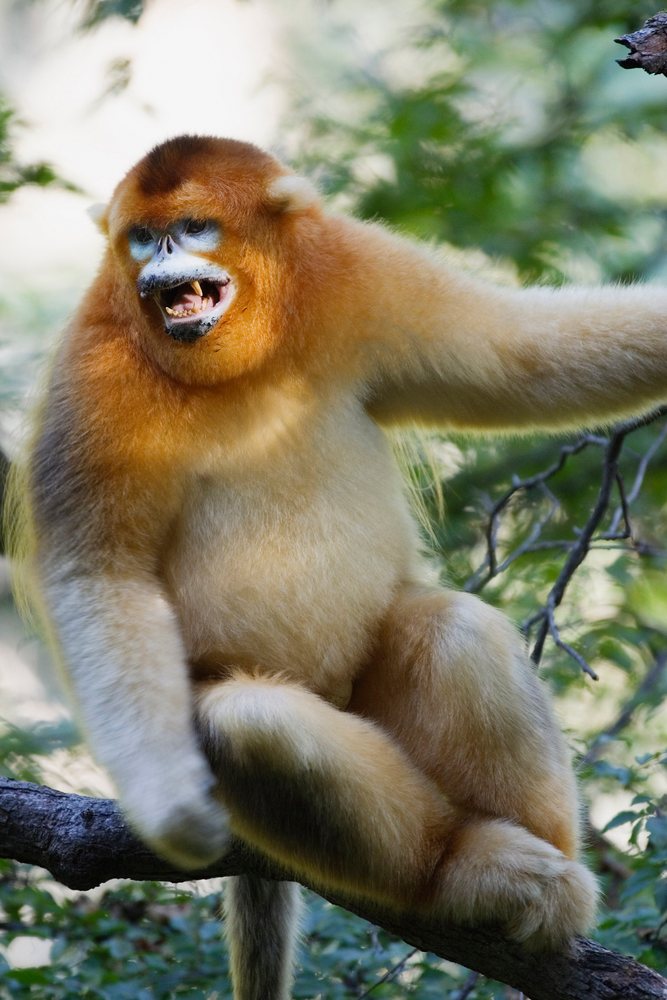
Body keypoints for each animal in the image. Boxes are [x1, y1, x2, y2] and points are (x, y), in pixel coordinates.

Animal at [10, 133, 667, 1000]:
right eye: (142, 239)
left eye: (192, 227)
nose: (158, 272)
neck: (239, 359)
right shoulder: (94, 367)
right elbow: (98, 577)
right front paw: (174, 814)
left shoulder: (350, 272)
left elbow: (523, 355)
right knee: (252, 724)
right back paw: (460, 873)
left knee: (454, 629)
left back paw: (543, 879)